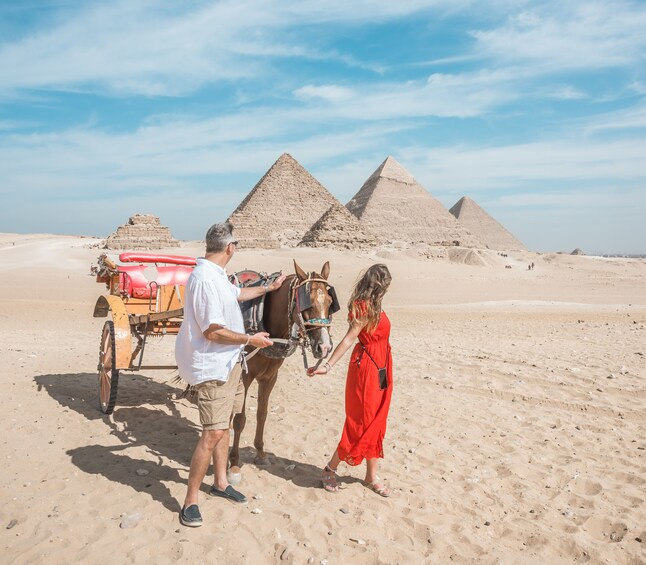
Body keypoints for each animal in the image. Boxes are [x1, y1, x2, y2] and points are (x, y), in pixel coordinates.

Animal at [228, 260, 340, 480]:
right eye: (307, 303)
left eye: (331, 301)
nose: (324, 347)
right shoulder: (244, 376)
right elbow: (240, 420)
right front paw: (234, 462)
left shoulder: (270, 377)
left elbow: (262, 414)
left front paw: (260, 453)